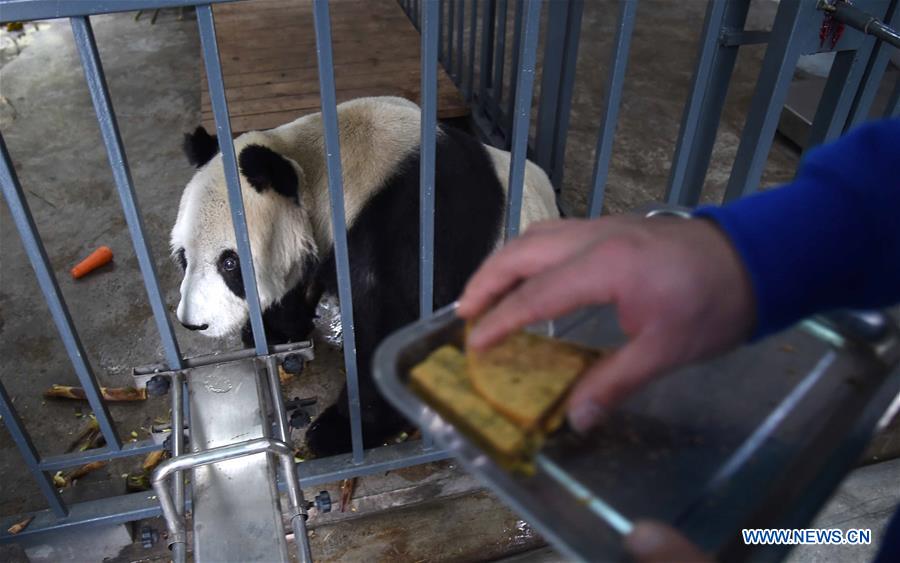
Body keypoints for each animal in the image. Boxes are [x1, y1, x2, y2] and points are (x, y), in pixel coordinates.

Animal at [172, 97, 560, 458]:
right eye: (183, 257)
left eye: (229, 263)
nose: (194, 324)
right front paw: (272, 331)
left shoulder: (415, 225)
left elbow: (393, 324)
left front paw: (337, 432)